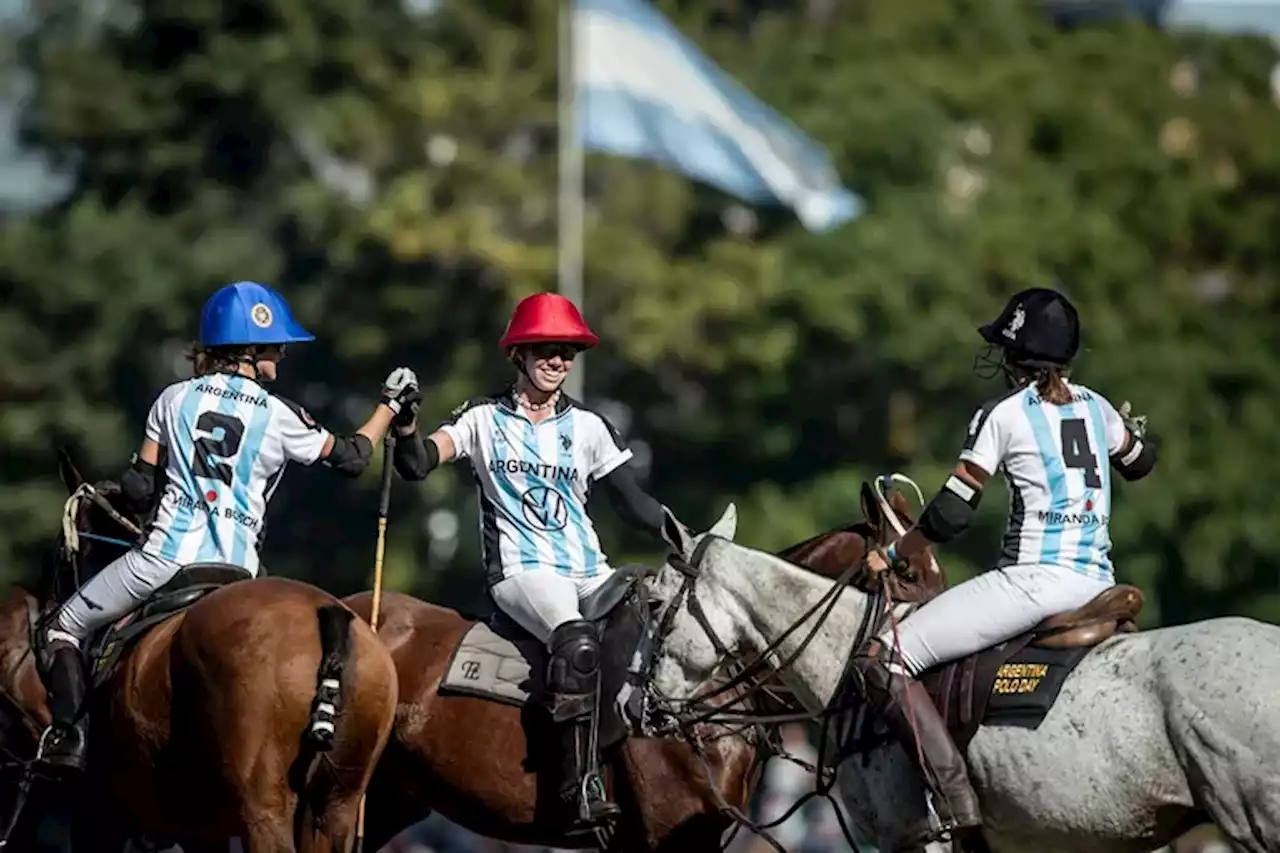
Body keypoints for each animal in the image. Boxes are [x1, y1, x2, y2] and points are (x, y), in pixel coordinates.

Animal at [0, 450, 396, 845]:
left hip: (263, 805)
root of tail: (328, 617)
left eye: (58, 552)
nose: (43, 614)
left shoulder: (101, 811)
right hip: (337, 805)